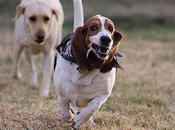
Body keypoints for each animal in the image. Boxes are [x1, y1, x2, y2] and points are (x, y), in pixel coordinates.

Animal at [54, 0, 122, 129]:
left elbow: (92, 108)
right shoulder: (61, 93)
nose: (106, 39)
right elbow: (65, 110)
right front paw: (71, 117)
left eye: (110, 29)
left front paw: (79, 120)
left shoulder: (102, 95)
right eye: (93, 27)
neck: (88, 67)